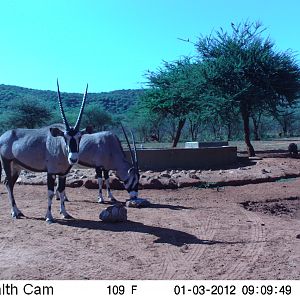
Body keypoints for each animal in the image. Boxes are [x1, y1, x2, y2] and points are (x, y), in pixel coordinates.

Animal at [0, 81, 91, 221]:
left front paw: (65, 213)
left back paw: (18, 211)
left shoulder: (63, 174)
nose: (73, 158)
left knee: (7, 183)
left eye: (79, 137)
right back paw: (15, 213)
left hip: (16, 167)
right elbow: (50, 193)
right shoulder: (51, 172)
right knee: (9, 184)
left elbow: (61, 191)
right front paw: (49, 217)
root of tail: (3, 136)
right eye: (65, 137)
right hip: (6, 163)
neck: (60, 146)